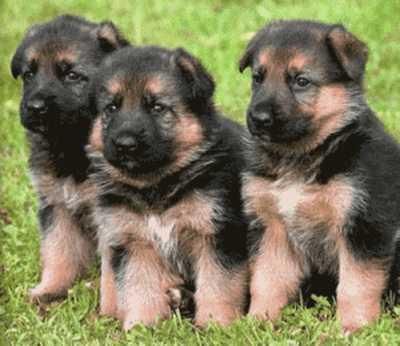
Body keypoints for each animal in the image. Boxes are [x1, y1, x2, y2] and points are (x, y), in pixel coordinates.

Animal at [10, 15, 128, 302]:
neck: (72, 145)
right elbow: (57, 250)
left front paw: (110, 307)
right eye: (29, 74)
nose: (34, 108)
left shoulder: (110, 214)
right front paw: (50, 289)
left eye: (72, 75)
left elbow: (114, 272)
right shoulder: (55, 203)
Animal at [88, 46, 248, 330]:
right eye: (112, 108)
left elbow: (218, 284)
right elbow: (139, 286)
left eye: (156, 107)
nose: (125, 144)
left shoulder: (218, 234)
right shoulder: (134, 241)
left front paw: (215, 324)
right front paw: (141, 326)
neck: (155, 186)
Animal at [239, 20, 400, 334]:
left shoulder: (364, 226)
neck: (305, 153)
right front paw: (259, 322)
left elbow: (356, 284)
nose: (258, 119)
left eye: (301, 81)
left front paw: (354, 326)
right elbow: (267, 279)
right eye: (257, 78)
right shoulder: (272, 228)